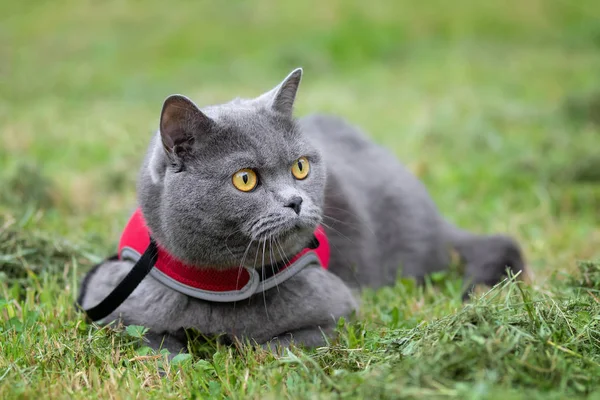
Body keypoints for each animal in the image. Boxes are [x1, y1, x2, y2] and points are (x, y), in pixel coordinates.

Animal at [76, 68, 524, 354]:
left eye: (300, 167)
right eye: (245, 179)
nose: (295, 201)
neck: (221, 287)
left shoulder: (337, 308)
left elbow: (274, 348)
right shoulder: (110, 300)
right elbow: (153, 344)